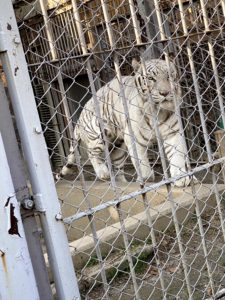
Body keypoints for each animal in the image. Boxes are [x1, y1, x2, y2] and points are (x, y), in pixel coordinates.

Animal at [58, 57, 193, 186]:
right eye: (151, 78)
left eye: (169, 76)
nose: (165, 93)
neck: (158, 112)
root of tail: (82, 111)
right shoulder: (135, 140)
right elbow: (143, 167)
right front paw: (145, 179)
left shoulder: (173, 134)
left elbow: (177, 157)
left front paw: (181, 178)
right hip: (98, 134)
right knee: (91, 152)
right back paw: (103, 173)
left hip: (119, 148)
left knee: (117, 168)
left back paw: (123, 184)